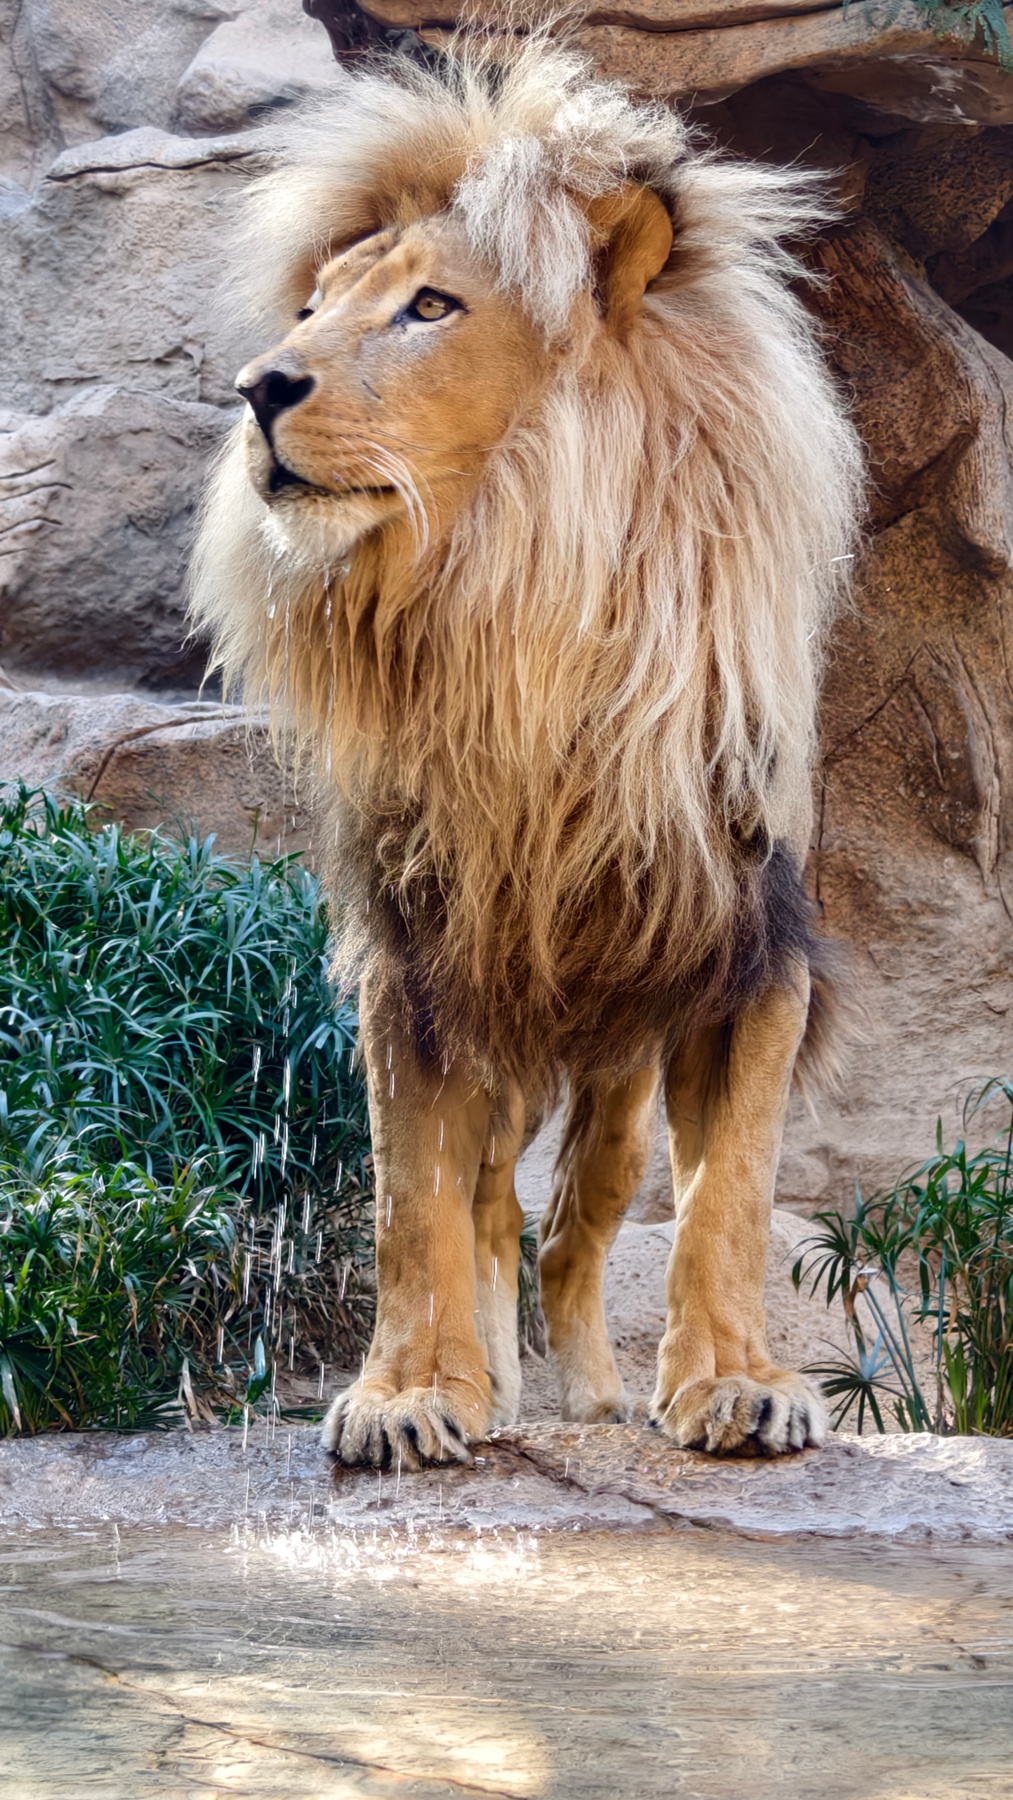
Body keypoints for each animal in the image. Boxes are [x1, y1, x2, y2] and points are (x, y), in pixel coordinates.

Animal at [191, 30, 864, 1465]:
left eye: (430, 308)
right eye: (311, 307)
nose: (260, 387)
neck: (506, 593)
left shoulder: (750, 941)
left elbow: (729, 1195)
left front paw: (735, 1383)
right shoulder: (414, 958)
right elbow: (412, 1202)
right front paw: (409, 1392)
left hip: (615, 1069)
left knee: (576, 1222)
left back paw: (595, 1392)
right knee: (496, 1205)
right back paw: (492, 1378)